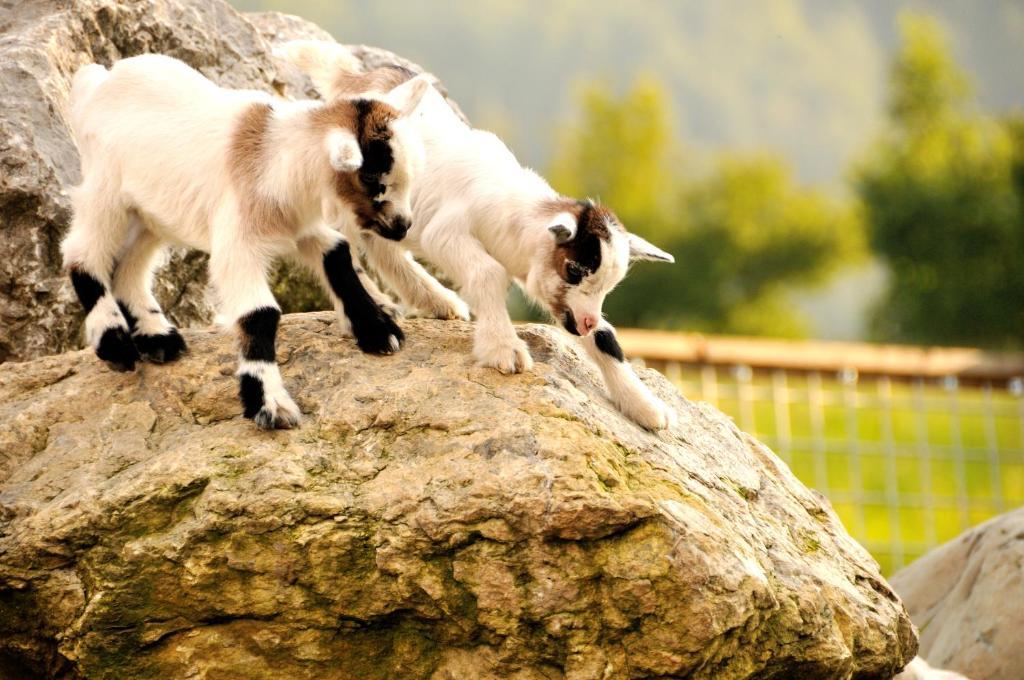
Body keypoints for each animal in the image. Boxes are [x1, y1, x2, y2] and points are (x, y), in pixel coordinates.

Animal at [60, 57, 428, 430]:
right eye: (370, 178)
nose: (402, 227)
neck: (271, 155)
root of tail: (98, 80)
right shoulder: (237, 243)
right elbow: (260, 314)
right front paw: (270, 405)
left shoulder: (300, 226)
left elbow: (337, 252)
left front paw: (378, 331)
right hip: (107, 191)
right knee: (81, 251)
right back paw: (114, 342)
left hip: (154, 212)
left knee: (129, 263)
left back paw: (158, 337)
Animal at [280, 41, 679, 430]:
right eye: (574, 269)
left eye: (607, 285)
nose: (586, 322)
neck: (515, 213)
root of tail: (356, 81)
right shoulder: (446, 233)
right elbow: (488, 272)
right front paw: (504, 350)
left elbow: (607, 337)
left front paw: (646, 409)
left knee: (382, 248)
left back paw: (435, 301)